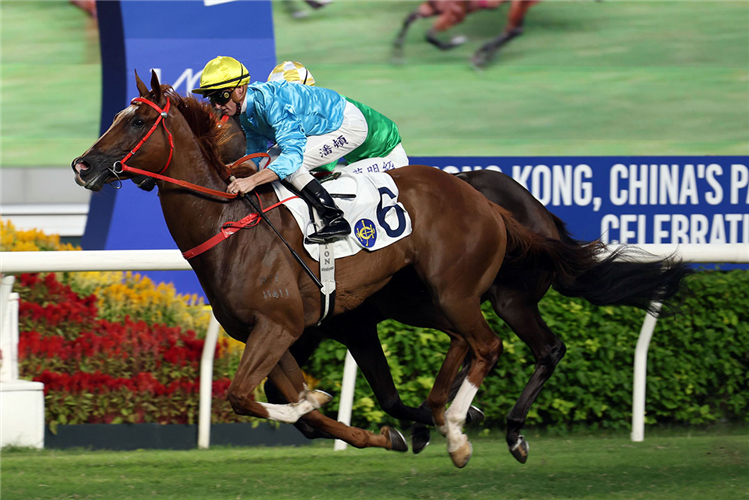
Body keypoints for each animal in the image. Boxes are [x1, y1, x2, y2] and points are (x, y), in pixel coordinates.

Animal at [73, 70, 608, 468]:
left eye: (139, 120)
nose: (82, 166)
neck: (232, 225)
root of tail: (483, 199)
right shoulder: (275, 333)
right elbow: (298, 412)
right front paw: (377, 430)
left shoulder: (281, 324)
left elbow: (242, 396)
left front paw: (319, 400)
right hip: (425, 300)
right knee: (468, 343)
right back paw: (446, 417)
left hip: (458, 291)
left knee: (490, 345)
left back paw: (460, 433)